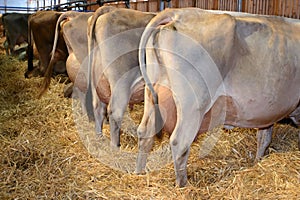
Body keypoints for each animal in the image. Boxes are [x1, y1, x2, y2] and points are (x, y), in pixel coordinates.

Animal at [84, 7, 155, 146]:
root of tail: (110, 9)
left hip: (97, 80)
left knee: (98, 108)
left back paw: (99, 139)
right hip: (121, 82)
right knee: (114, 111)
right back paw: (115, 146)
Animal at [137, 7, 300, 186]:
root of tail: (177, 13)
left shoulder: (268, 114)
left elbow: (264, 138)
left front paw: (258, 161)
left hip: (153, 94)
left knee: (145, 132)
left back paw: (139, 173)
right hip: (193, 104)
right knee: (179, 142)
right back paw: (182, 185)